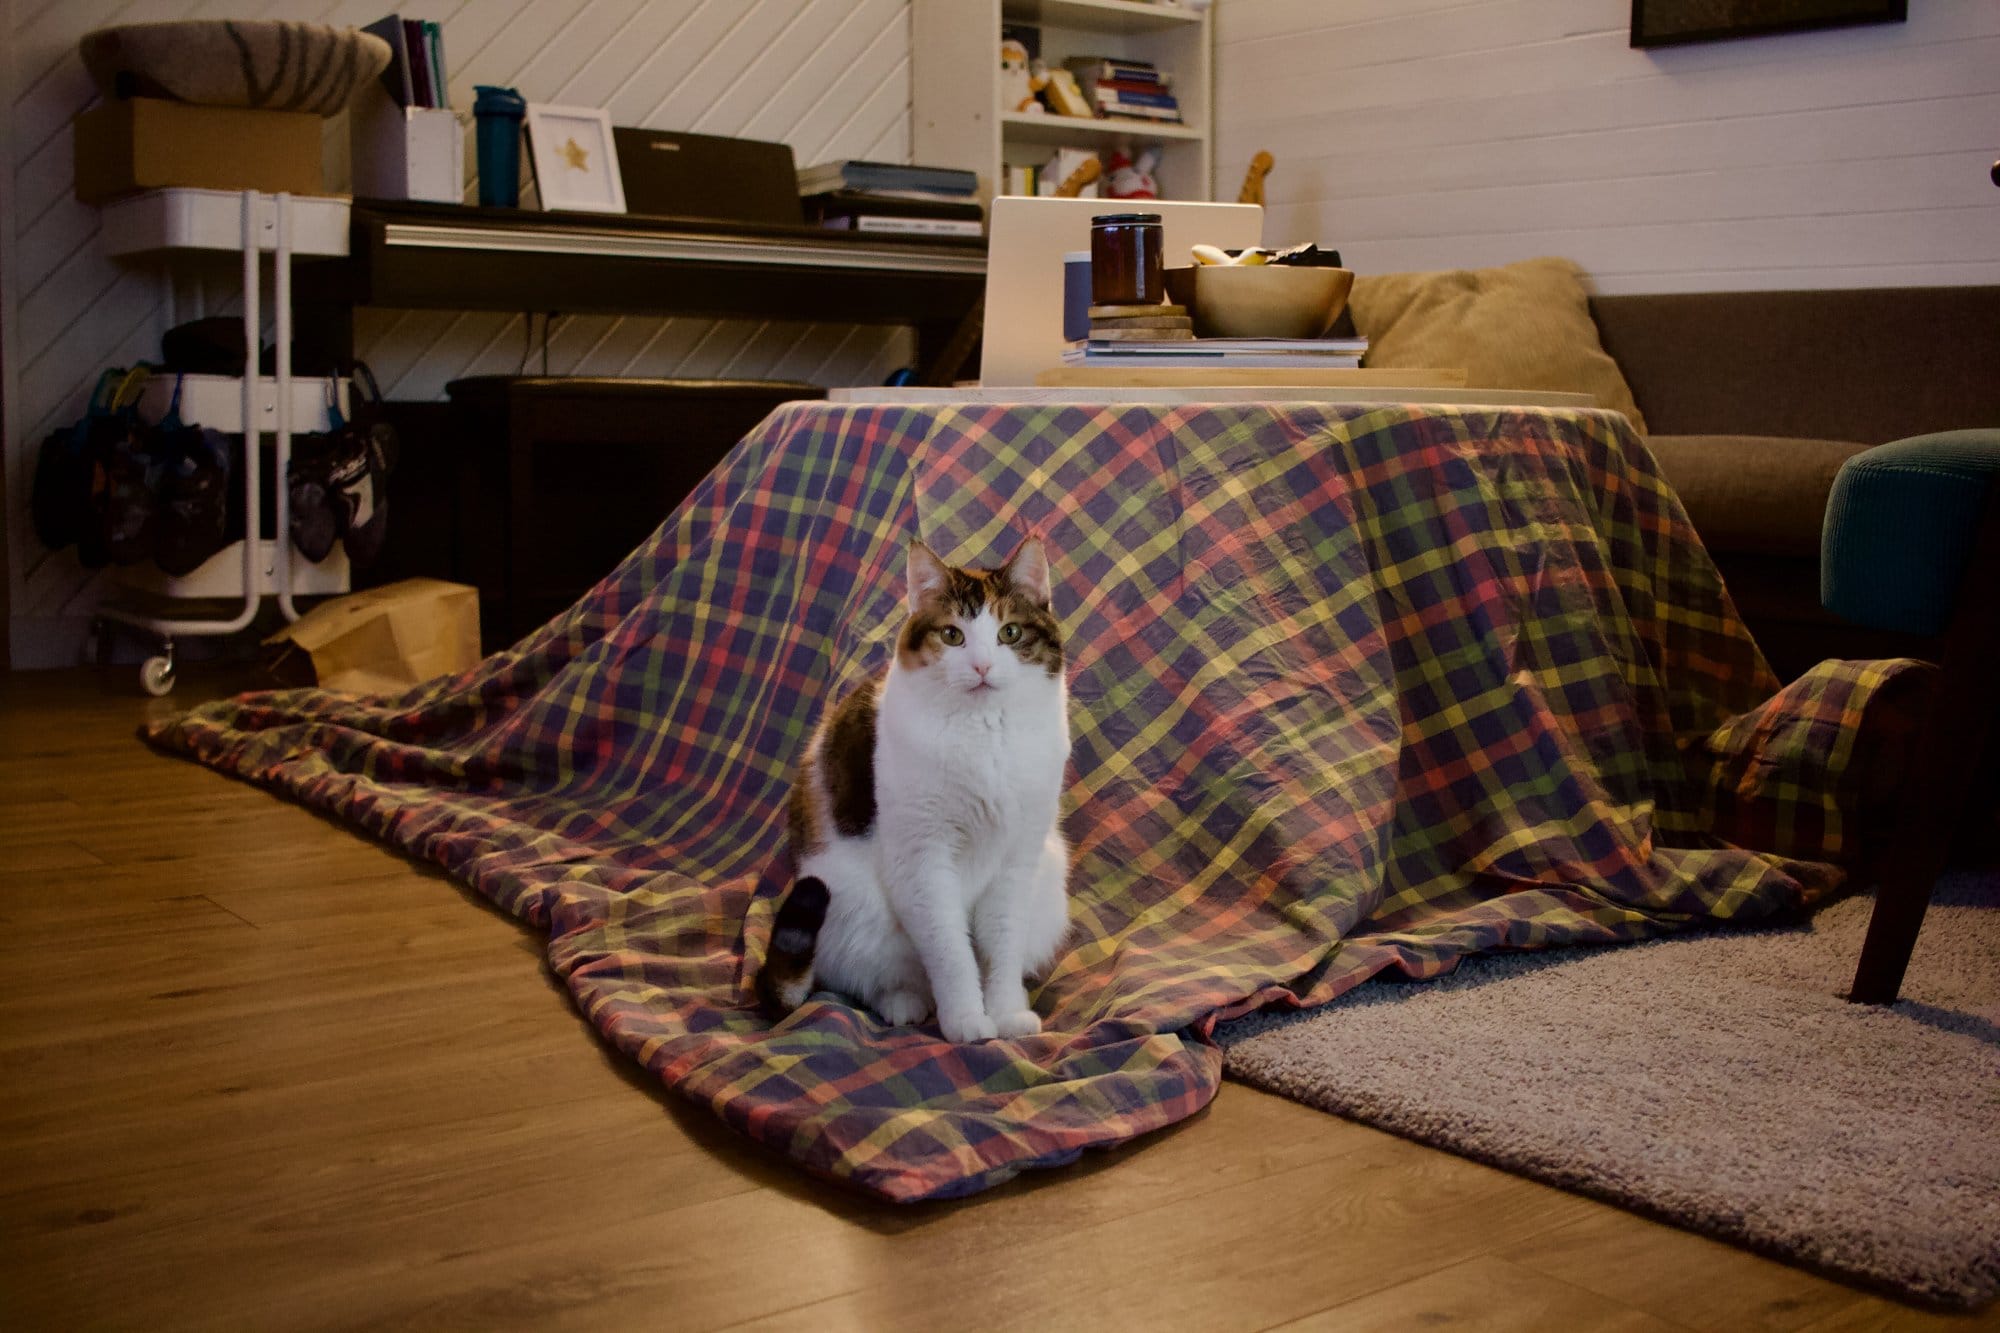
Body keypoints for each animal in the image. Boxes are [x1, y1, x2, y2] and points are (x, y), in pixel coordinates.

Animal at [760, 532, 1080, 1040]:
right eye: (952, 635)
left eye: (1010, 633)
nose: (982, 666)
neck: (985, 733)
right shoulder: (923, 862)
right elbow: (951, 954)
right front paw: (967, 1020)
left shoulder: (1019, 860)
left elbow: (1002, 947)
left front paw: (1006, 1012)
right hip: (849, 902)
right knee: (876, 976)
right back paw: (906, 1003)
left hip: (1049, 880)